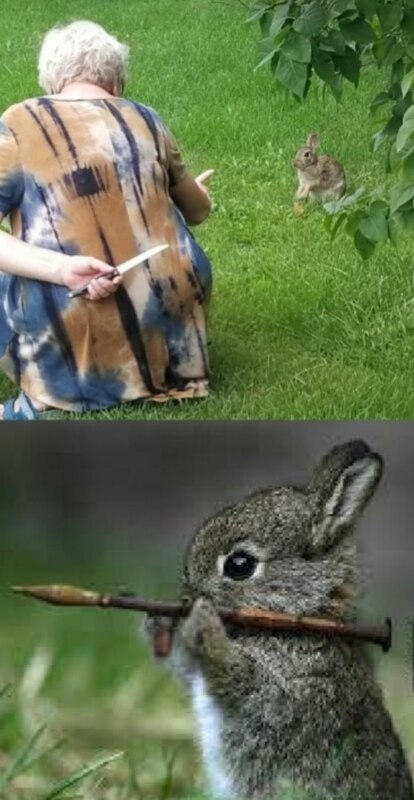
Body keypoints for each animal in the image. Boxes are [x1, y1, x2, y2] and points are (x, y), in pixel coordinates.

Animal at [153, 441, 413, 800]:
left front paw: (203, 622)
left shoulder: (287, 692)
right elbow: (186, 668)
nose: (188, 598)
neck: (300, 618)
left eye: (239, 565)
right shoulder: (198, 675)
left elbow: (237, 678)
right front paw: (156, 622)